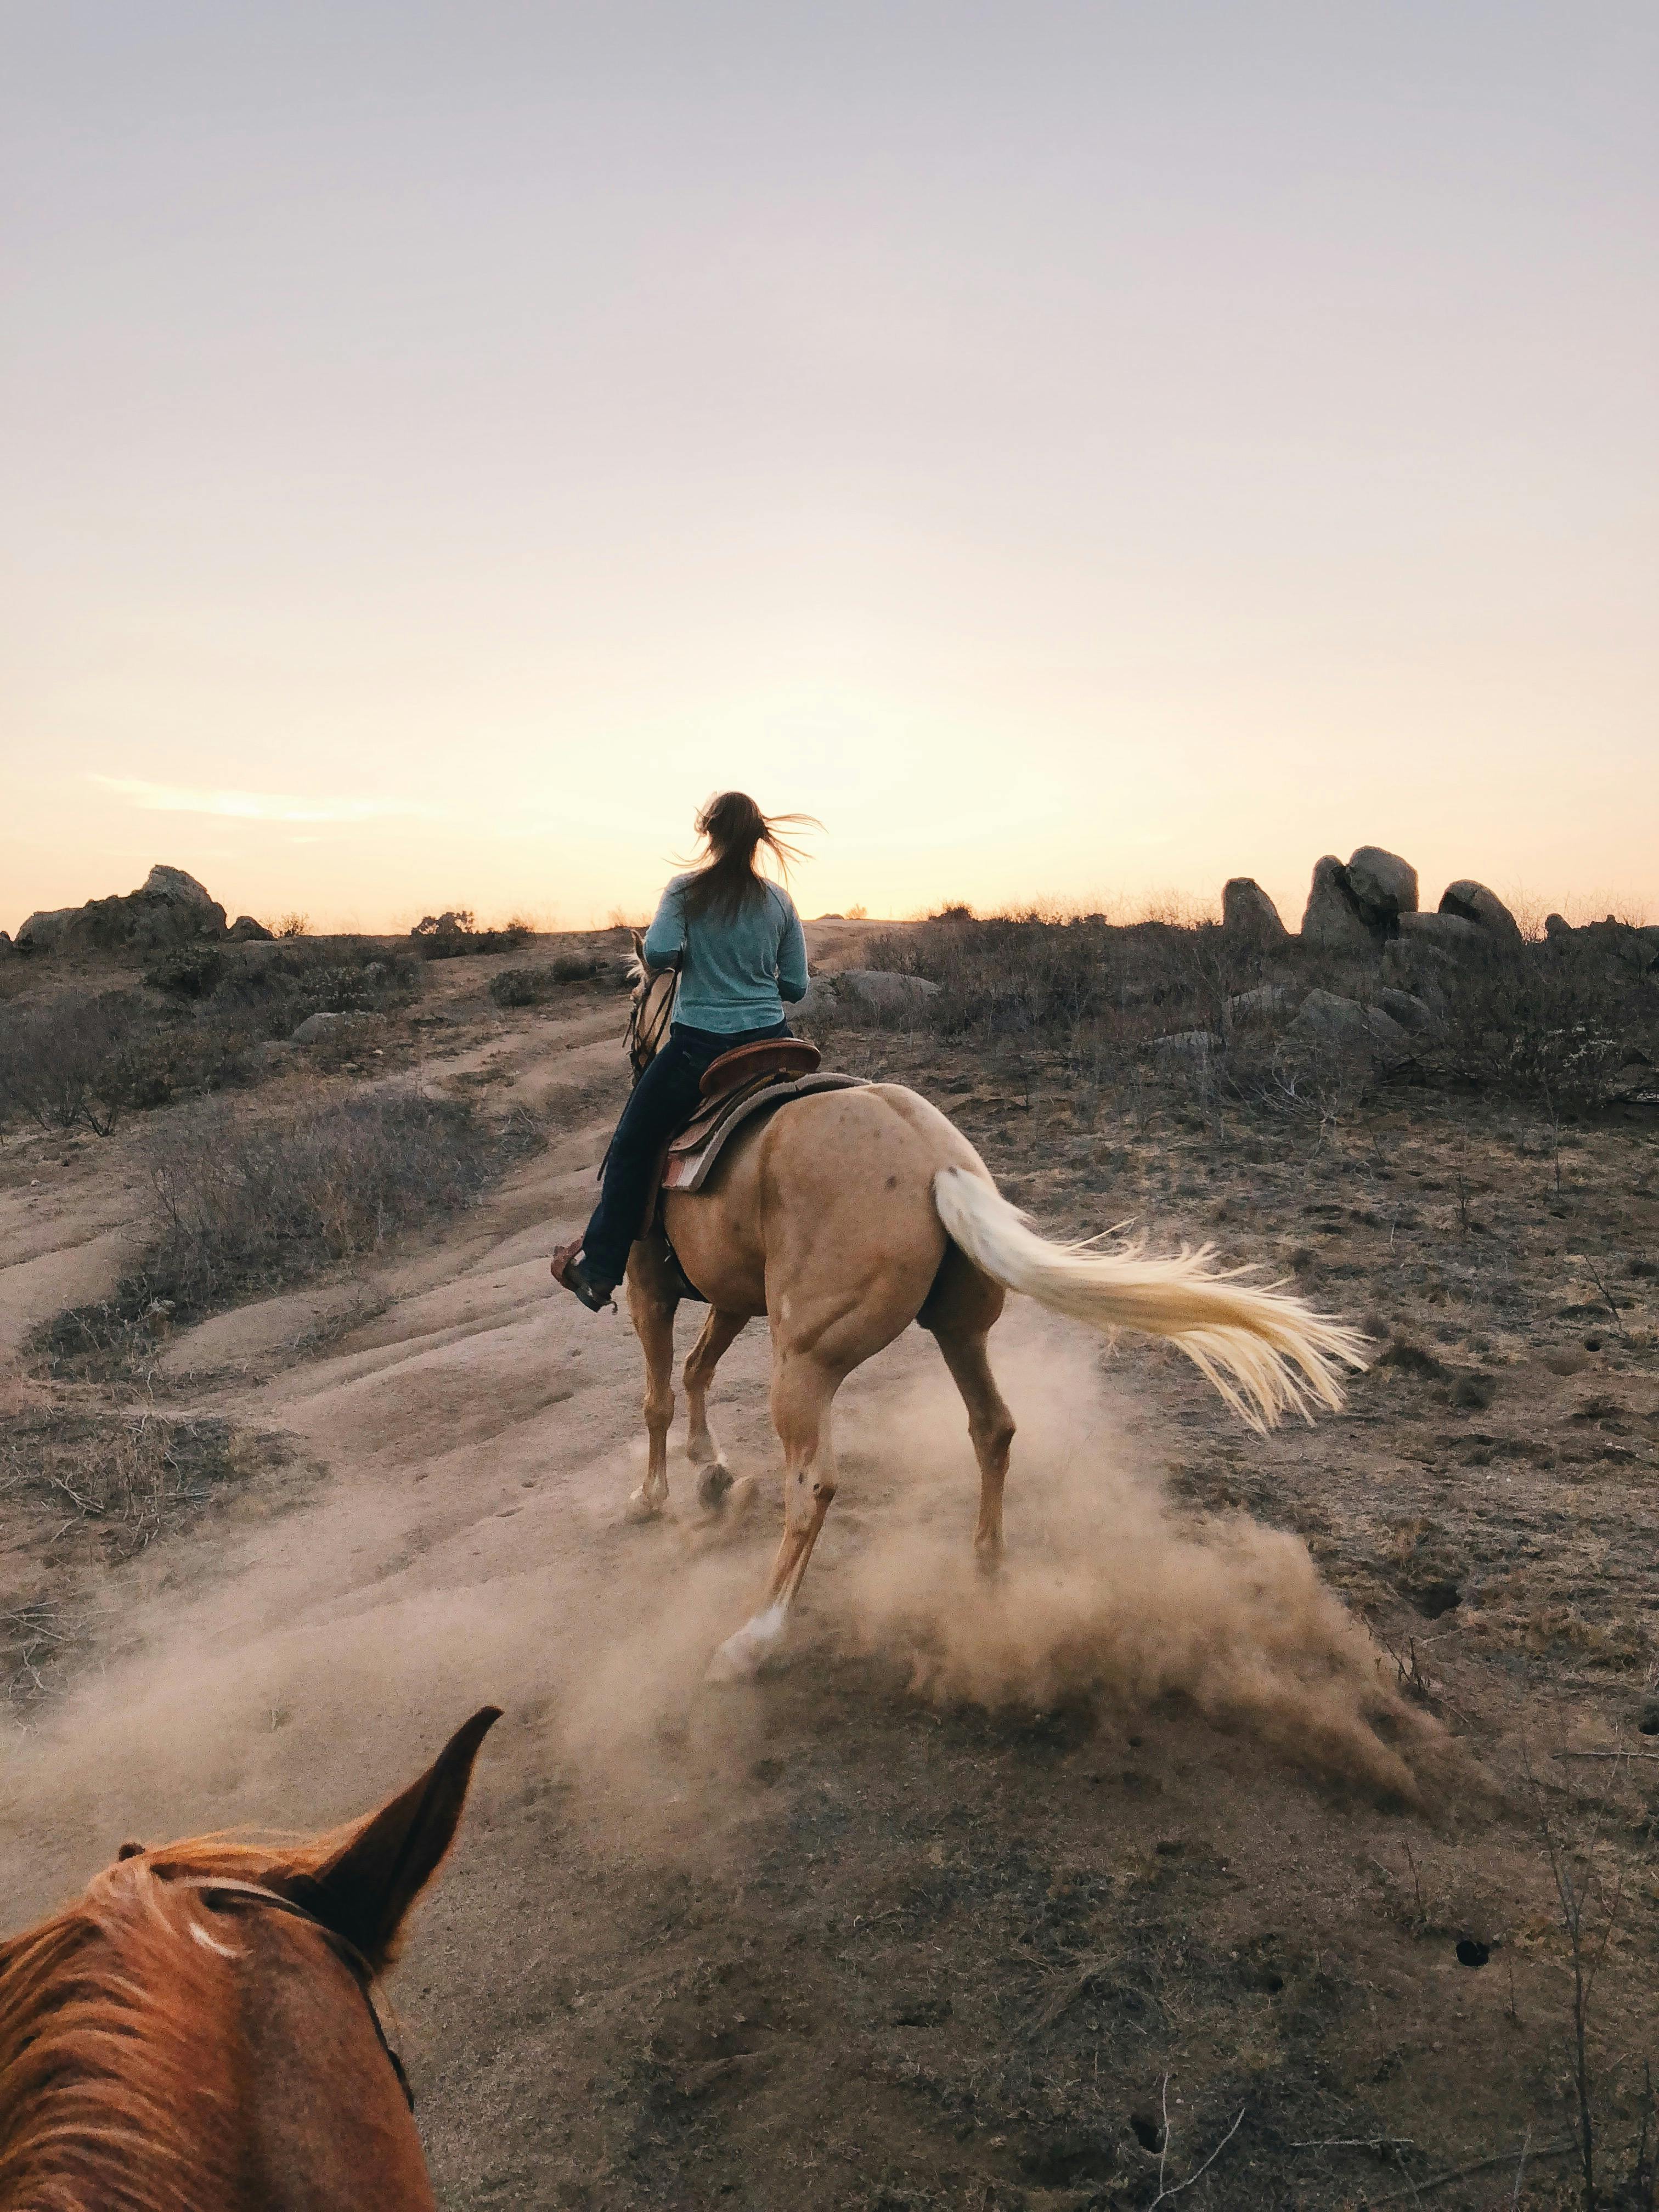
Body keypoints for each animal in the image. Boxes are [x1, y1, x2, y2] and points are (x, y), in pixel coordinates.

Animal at [619, 951, 1371, 1672]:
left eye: (634, 996)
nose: (635, 1050)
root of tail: (936, 1162)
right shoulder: (729, 1294)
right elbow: (698, 1367)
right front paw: (709, 1468)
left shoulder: (645, 1283)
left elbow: (658, 1395)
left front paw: (652, 1494)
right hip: (960, 1330)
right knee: (994, 1428)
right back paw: (988, 1568)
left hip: (806, 1361)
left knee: (813, 1485)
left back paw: (755, 1636)